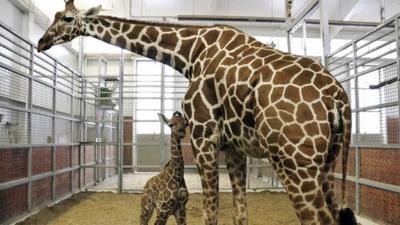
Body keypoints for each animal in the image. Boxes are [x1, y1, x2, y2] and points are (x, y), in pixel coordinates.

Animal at [37, 0, 356, 224]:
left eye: (67, 18)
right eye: (54, 16)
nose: (42, 42)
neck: (189, 53)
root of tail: (338, 97)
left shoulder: (203, 136)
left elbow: (209, 214)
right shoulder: (234, 148)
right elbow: (240, 214)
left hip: (294, 161)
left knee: (317, 218)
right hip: (325, 162)